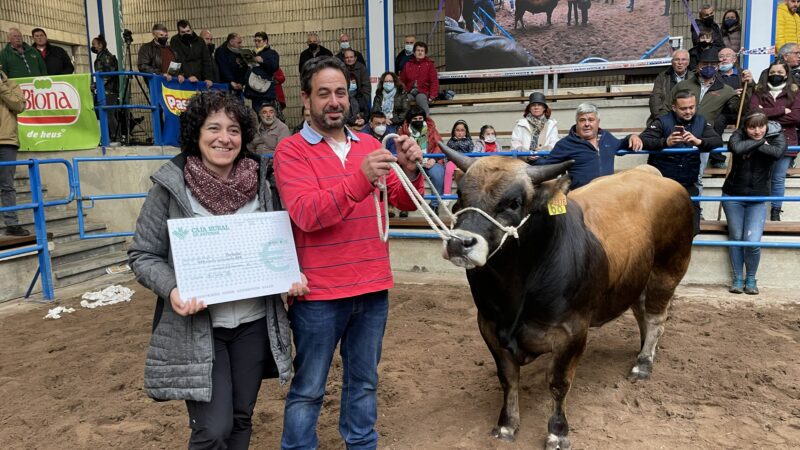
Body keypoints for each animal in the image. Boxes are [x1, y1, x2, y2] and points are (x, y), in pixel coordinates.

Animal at [438, 149, 692, 448]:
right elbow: (508, 378)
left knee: (655, 318)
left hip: (668, 269)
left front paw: (557, 432)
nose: (459, 242)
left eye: (513, 203)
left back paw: (643, 364)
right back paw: (645, 350)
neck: (514, 289)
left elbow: (558, 383)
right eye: (460, 195)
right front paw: (507, 425)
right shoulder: (488, 325)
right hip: (636, 277)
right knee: (642, 313)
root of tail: (649, 174)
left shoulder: (572, 330)